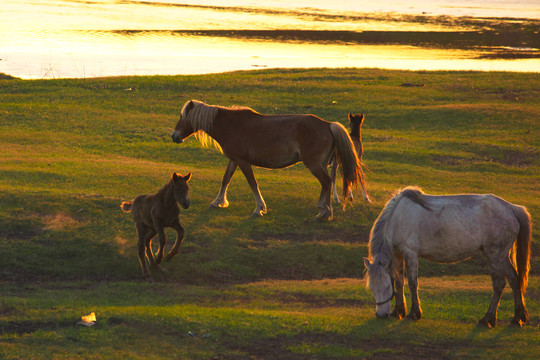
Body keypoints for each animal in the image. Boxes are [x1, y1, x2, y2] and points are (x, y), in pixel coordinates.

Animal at [171, 100, 370, 221]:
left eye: (182, 117)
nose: (174, 136)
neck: (231, 125)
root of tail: (328, 125)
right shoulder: (234, 160)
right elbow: (225, 180)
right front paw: (218, 202)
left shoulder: (243, 162)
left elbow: (253, 183)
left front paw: (259, 209)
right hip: (321, 164)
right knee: (327, 183)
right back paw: (324, 210)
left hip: (314, 164)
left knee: (327, 182)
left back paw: (324, 212)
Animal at [362, 187, 532, 328]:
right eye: (371, 288)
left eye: (386, 287)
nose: (381, 315)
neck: (398, 218)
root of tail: (511, 208)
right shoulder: (397, 255)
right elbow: (398, 282)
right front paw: (398, 311)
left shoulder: (410, 253)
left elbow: (412, 283)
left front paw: (414, 313)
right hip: (502, 256)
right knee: (514, 280)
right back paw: (518, 317)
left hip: (494, 255)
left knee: (498, 284)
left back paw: (488, 319)